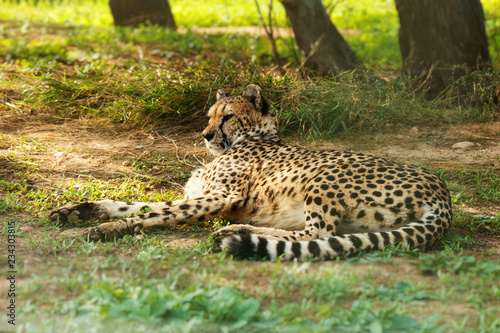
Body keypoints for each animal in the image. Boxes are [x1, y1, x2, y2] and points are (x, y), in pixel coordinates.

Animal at [50, 83, 454, 260]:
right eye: (209, 115)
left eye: (227, 116)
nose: (206, 135)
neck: (253, 138)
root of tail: (442, 190)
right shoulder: (200, 195)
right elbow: (134, 204)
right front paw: (80, 210)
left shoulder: (222, 196)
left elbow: (155, 213)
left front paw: (106, 229)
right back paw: (238, 230)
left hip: (324, 176)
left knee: (316, 234)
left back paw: (236, 232)